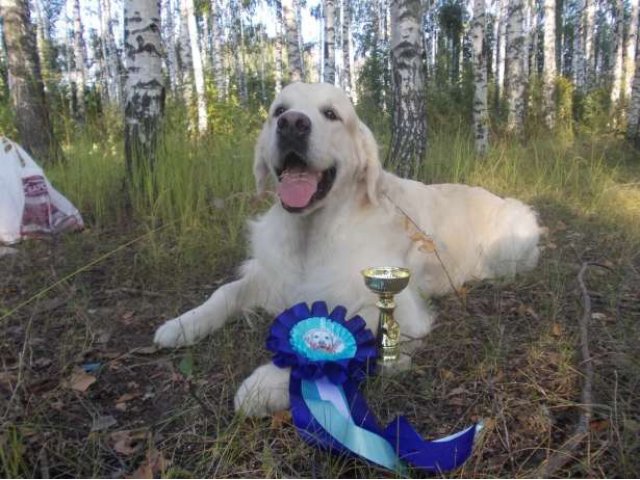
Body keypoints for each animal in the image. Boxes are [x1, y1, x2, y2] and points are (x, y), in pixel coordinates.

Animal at [155, 81, 540, 416]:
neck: (312, 233)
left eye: (331, 114)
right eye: (279, 110)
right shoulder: (271, 275)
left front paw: (266, 383)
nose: (291, 124)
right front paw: (182, 324)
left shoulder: (395, 306)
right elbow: (224, 293)